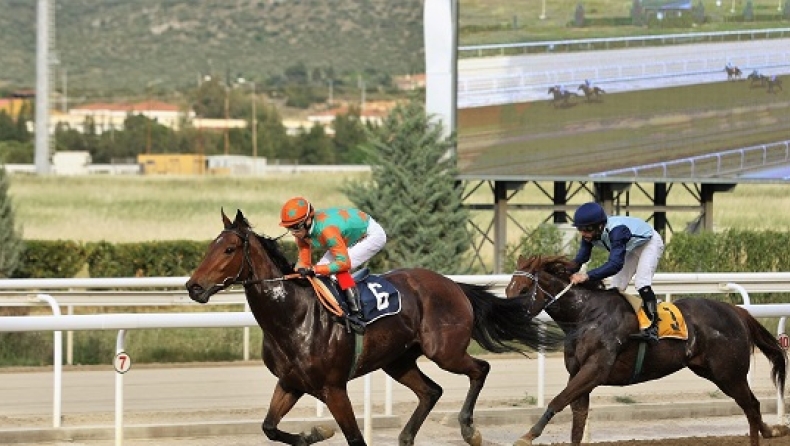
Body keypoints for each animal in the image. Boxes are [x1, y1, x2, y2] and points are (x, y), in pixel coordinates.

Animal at [186, 210, 556, 446]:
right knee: (431, 391)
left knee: (480, 369)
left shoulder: (334, 388)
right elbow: (269, 428)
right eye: (209, 247)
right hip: (398, 360)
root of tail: (452, 284)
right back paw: (406, 437)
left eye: (229, 249)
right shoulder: (290, 383)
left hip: (444, 351)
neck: (293, 317)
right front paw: (314, 434)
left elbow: (355, 438)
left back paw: (469, 429)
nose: (193, 287)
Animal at [508, 254, 790, 446]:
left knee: (751, 406)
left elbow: (558, 401)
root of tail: (736, 311)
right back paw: (771, 431)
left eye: (524, 289)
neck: (586, 314)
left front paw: (527, 436)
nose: (506, 319)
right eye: (508, 289)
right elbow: (577, 420)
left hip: (729, 373)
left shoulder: (595, 370)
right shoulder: (578, 373)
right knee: (752, 407)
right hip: (714, 372)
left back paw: (770, 431)